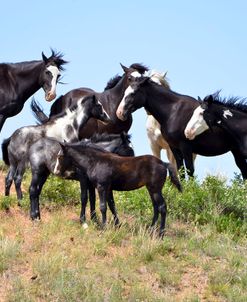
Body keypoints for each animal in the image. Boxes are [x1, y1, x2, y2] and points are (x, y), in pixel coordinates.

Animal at [115, 76, 247, 179]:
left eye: (132, 93)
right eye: (125, 93)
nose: (119, 113)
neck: (173, 112)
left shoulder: (186, 147)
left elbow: (189, 170)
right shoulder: (174, 147)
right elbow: (180, 170)